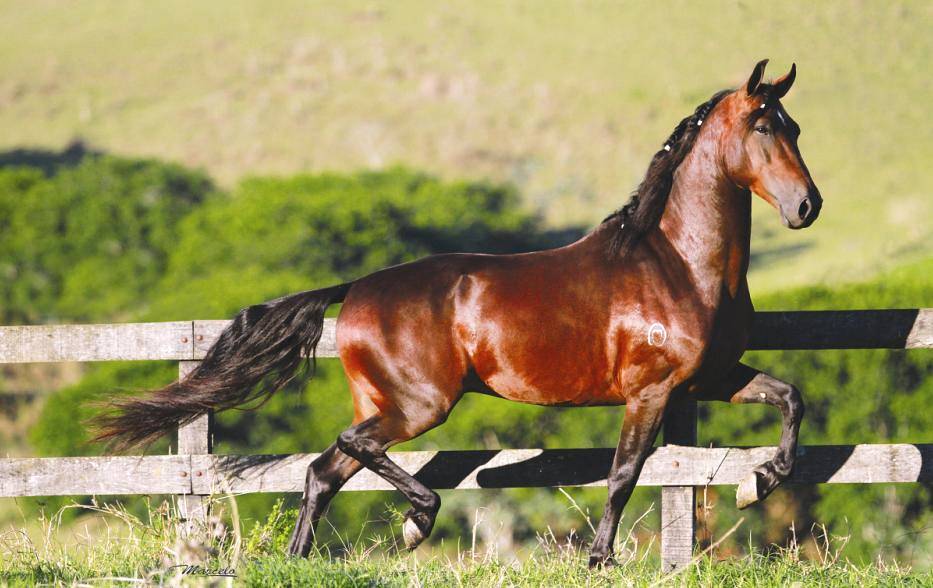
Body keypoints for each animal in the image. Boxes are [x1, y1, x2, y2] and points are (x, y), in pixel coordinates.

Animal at [94, 58, 824, 564]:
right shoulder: (650, 391)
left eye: (794, 127)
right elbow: (623, 474)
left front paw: (758, 481)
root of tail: (358, 287)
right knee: (348, 450)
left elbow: (790, 398)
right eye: (763, 127)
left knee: (323, 471)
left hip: (386, 401)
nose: (806, 206)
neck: (675, 264)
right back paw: (416, 521)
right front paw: (600, 558)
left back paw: (305, 558)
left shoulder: (708, 378)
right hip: (420, 404)